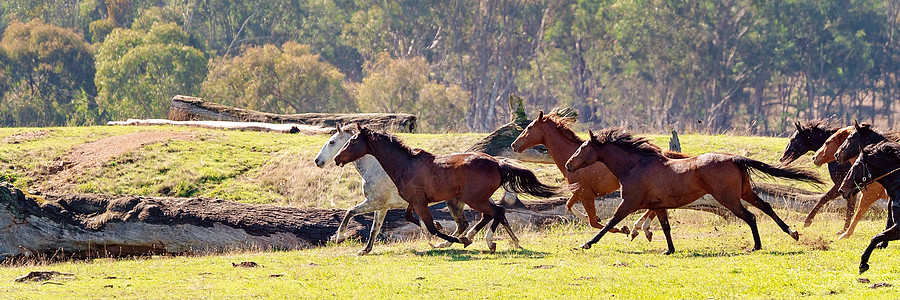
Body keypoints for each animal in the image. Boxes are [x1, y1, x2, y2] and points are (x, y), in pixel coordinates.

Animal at [332, 125, 556, 252]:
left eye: (352, 142)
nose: (336, 159)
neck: (405, 165)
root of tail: (497, 163)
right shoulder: (414, 202)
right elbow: (410, 218)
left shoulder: (418, 202)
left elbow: (429, 226)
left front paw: (452, 240)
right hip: (469, 200)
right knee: (488, 216)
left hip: (474, 199)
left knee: (497, 213)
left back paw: (487, 241)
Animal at [568, 127, 824, 254]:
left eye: (582, 147)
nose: (569, 164)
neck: (635, 165)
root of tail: (734, 158)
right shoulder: (658, 206)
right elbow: (666, 227)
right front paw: (669, 250)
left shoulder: (629, 203)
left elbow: (610, 223)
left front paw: (587, 243)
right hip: (744, 192)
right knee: (766, 207)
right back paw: (792, 232)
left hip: (729, 198)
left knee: (751, 216)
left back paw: (757, 246)